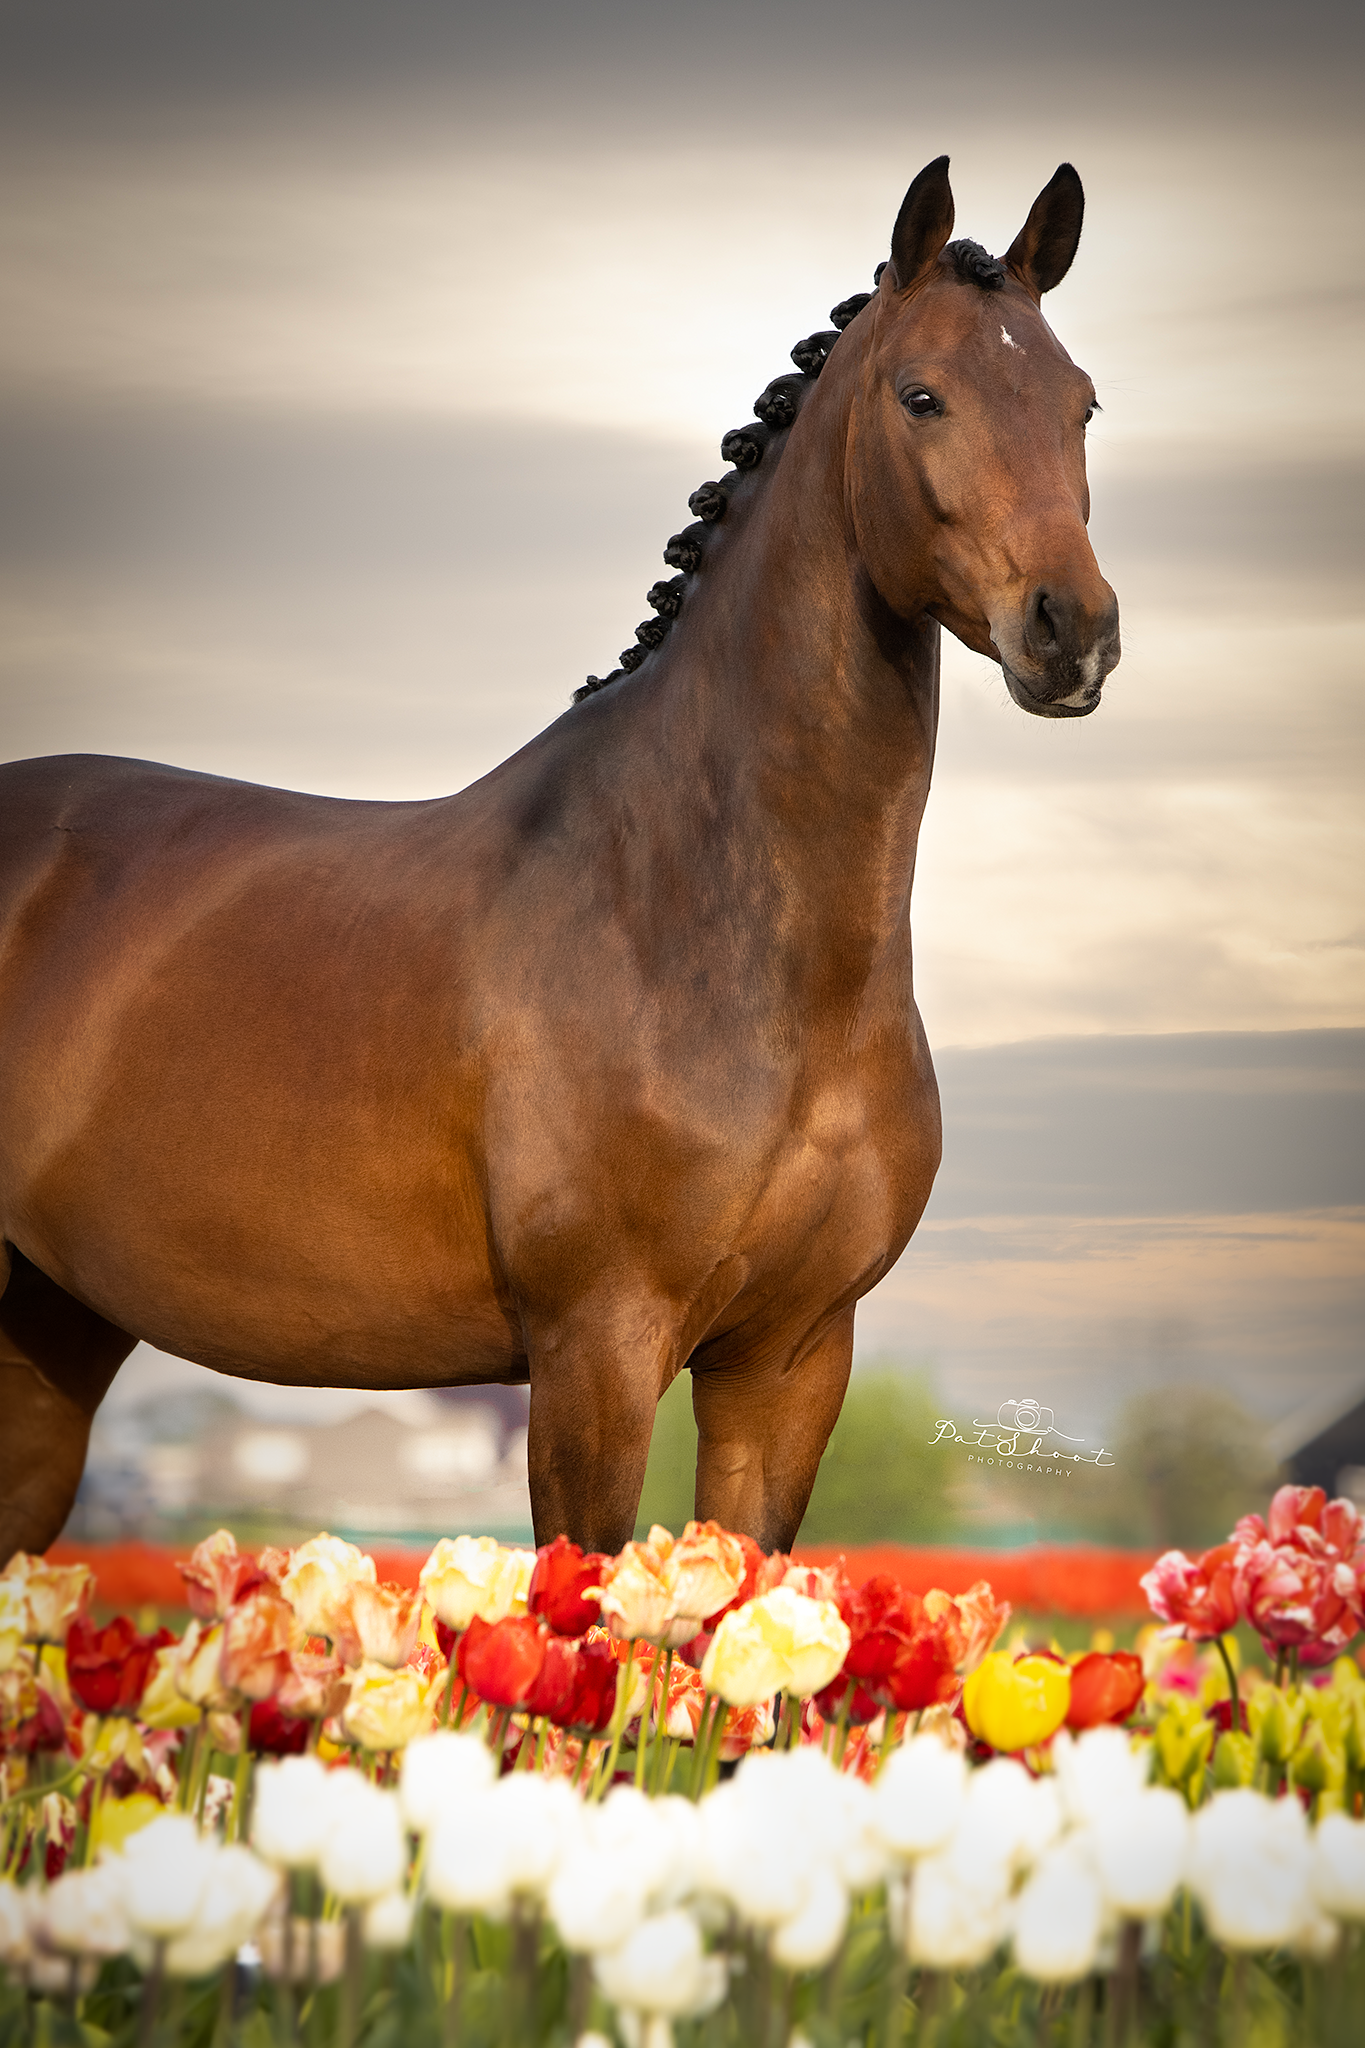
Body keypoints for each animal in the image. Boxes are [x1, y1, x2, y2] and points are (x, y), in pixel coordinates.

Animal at [0, 157, 1120, 1564]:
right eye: (924, 395)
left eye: (1082, 403)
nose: (1073, 632)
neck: (706, 923)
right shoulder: (597, 1352)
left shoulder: (790, 1361)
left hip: (51, 1332)